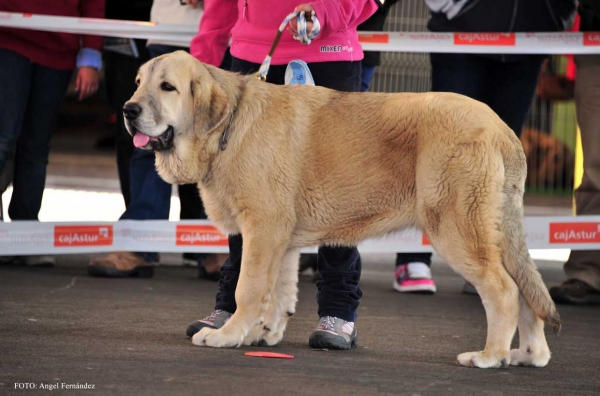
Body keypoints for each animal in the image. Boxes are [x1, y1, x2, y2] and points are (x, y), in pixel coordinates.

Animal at [123, 51, 564, 370]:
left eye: (167, 87)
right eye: (139, 83)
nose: (128, 110)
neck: (229, 125)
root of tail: (502, 130)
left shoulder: (261, 229)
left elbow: (248, 288)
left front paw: (228, 334)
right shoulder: (281, 239)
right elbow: (278, 292)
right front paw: (262, 335)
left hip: (457, 228)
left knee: (504, 290)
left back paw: (491, 356)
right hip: (493, 233)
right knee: (526, 288)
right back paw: (529, 355)